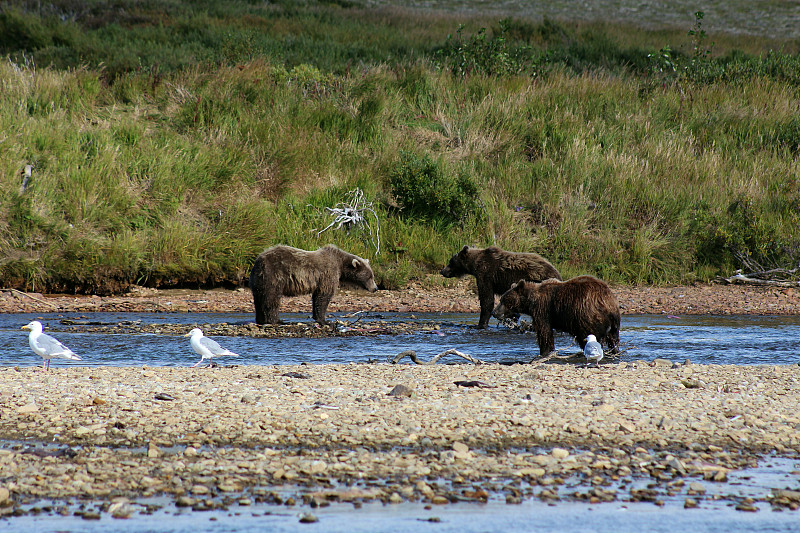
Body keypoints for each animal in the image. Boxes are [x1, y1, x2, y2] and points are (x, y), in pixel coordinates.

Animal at [250, 244, 378, 324]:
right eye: (370, 276)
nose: (376, 288)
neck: (341, 265)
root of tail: (259, 260)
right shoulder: (328, 273)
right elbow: (323, 295)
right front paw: (324, 320)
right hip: (274, 275)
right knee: (272, 298)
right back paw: (277, 320)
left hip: (258, 280)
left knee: (259, 298)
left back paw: (260, 319)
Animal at [490, 274, 620, 358]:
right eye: (501, 299)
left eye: (505, 300)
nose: (494, 312)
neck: (531, 302)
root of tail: (607, 303)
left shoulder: (543, 310)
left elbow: (544, 332)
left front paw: (545, 352)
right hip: (614, 321)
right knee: (613, 338)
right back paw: (615, 351)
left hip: (586, 315)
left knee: (589, 337)